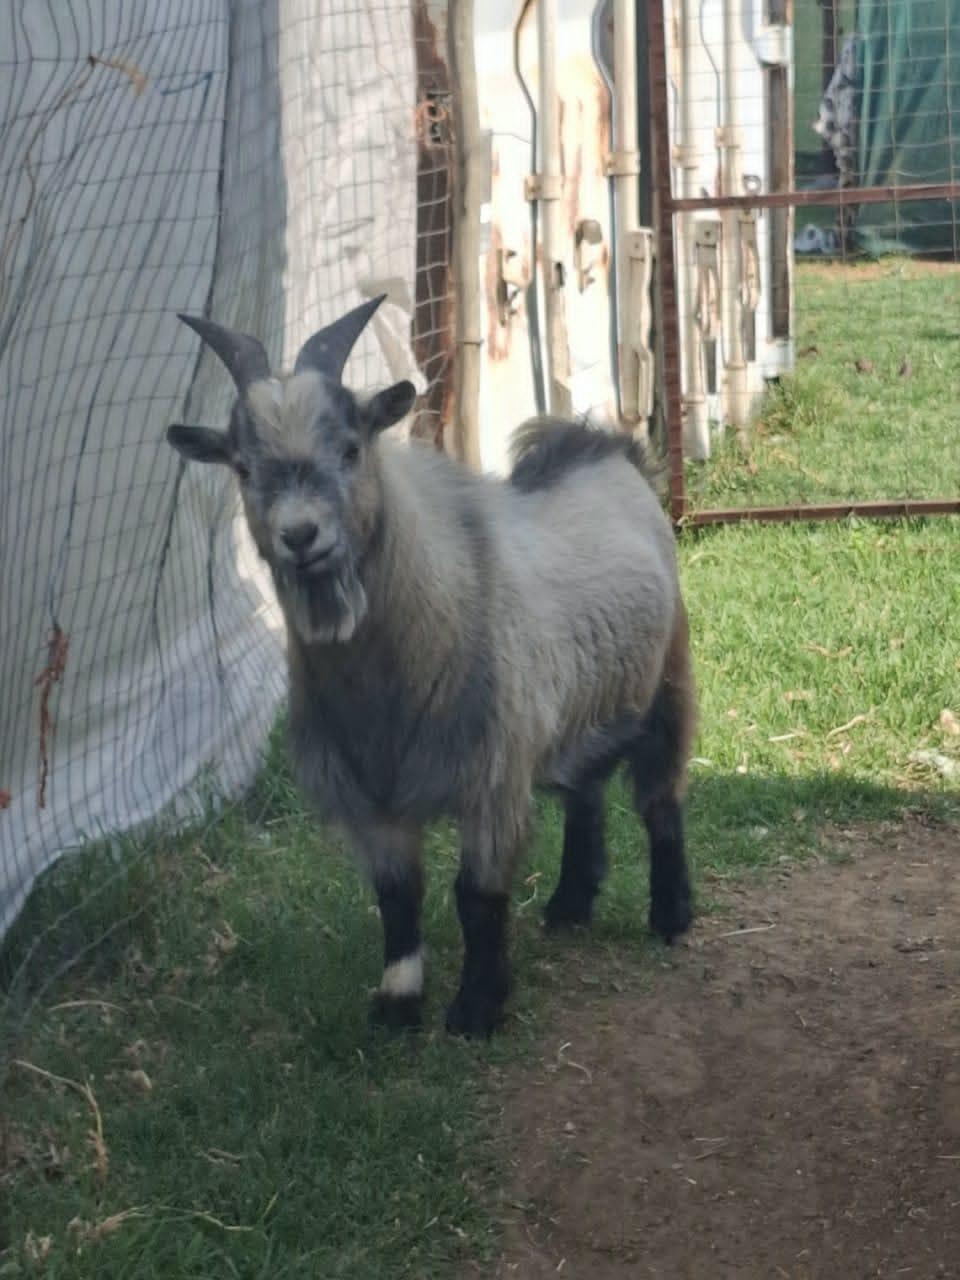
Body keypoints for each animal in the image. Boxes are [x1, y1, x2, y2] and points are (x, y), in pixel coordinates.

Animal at [167, 296, 695, 1037]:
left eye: (351, 447)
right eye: (242, 466)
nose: (301, 536)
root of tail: (603, 449)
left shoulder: (490, 776)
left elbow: (475, 896)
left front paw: (475, 1008)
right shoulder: (373, 795)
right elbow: (397, 899)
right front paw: (397, 1001)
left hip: (666, 682)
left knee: (659, 799)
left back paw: (671, 916)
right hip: (580, 708)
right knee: (585, 792)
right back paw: (569, 905)